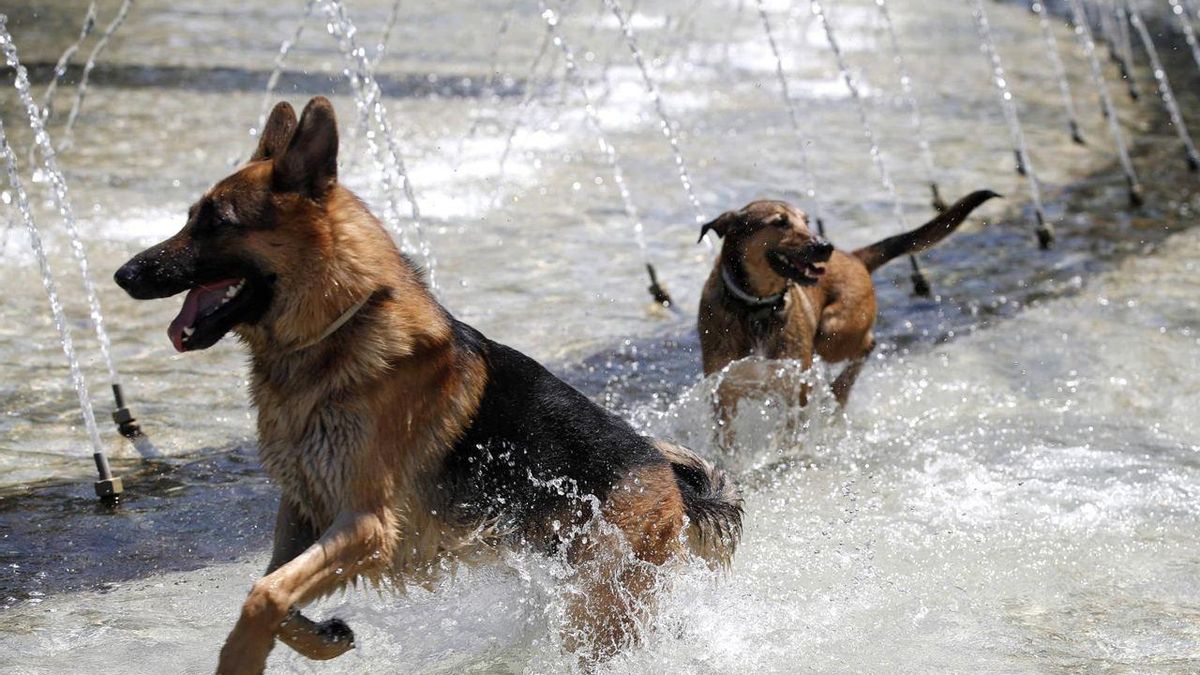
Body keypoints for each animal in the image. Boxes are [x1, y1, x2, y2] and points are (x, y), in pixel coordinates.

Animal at [112, 97, 739, 667]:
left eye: (216, 222)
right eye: (190, 215)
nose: (123, 275)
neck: (336, 330)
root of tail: (671, 477)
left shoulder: (366, 525)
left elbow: (263, 596)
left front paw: (239, 658)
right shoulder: (304, 507)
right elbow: (273, 591)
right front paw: (323, 638)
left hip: (601, 604)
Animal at [700, 190, 998, 441]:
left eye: (806, 221)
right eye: (780, 222)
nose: (824, 246)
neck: (757, 306)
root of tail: (853, 257)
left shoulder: (796, 384)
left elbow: (792, 430)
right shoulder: (724, 389)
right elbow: (726, 437)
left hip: (833, 334)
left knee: (867, 344)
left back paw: (839, 390)